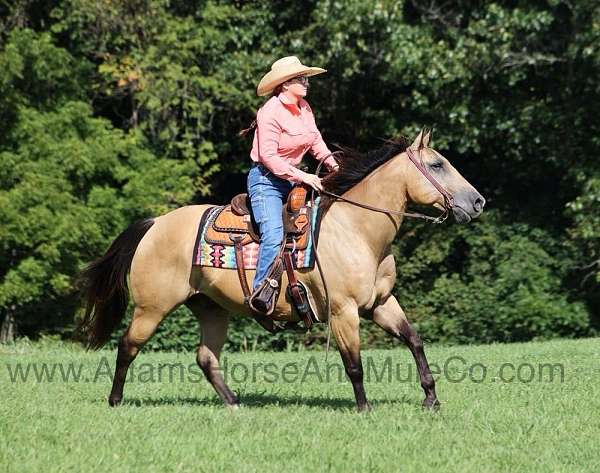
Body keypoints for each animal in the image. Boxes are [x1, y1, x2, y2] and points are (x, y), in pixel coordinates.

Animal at [79, 129, 486, 410]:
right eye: (437, 165)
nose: (478, 201)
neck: (356, 230)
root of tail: (155, 224)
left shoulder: (381, 303)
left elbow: (414, 340)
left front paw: (431, 399)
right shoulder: (343, 311)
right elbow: (353, 363)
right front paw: (364, 407)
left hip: (210, 309)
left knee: (206, 358)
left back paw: (235, 403)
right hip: (152, 308)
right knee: (127, 346)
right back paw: (115, 400)